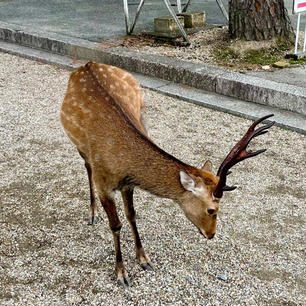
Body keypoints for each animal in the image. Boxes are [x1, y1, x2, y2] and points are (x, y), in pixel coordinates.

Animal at [60, 62, 274, 286]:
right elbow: (116, 225)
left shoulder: (128, 184)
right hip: (80, 145)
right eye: (212, 210)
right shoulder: (103, 183)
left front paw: (144, 259)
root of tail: (86, 64)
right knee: (87, 167)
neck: (122, 164)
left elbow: (132, 215)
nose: (211, 234)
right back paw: (93, 213)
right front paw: (121, 273)